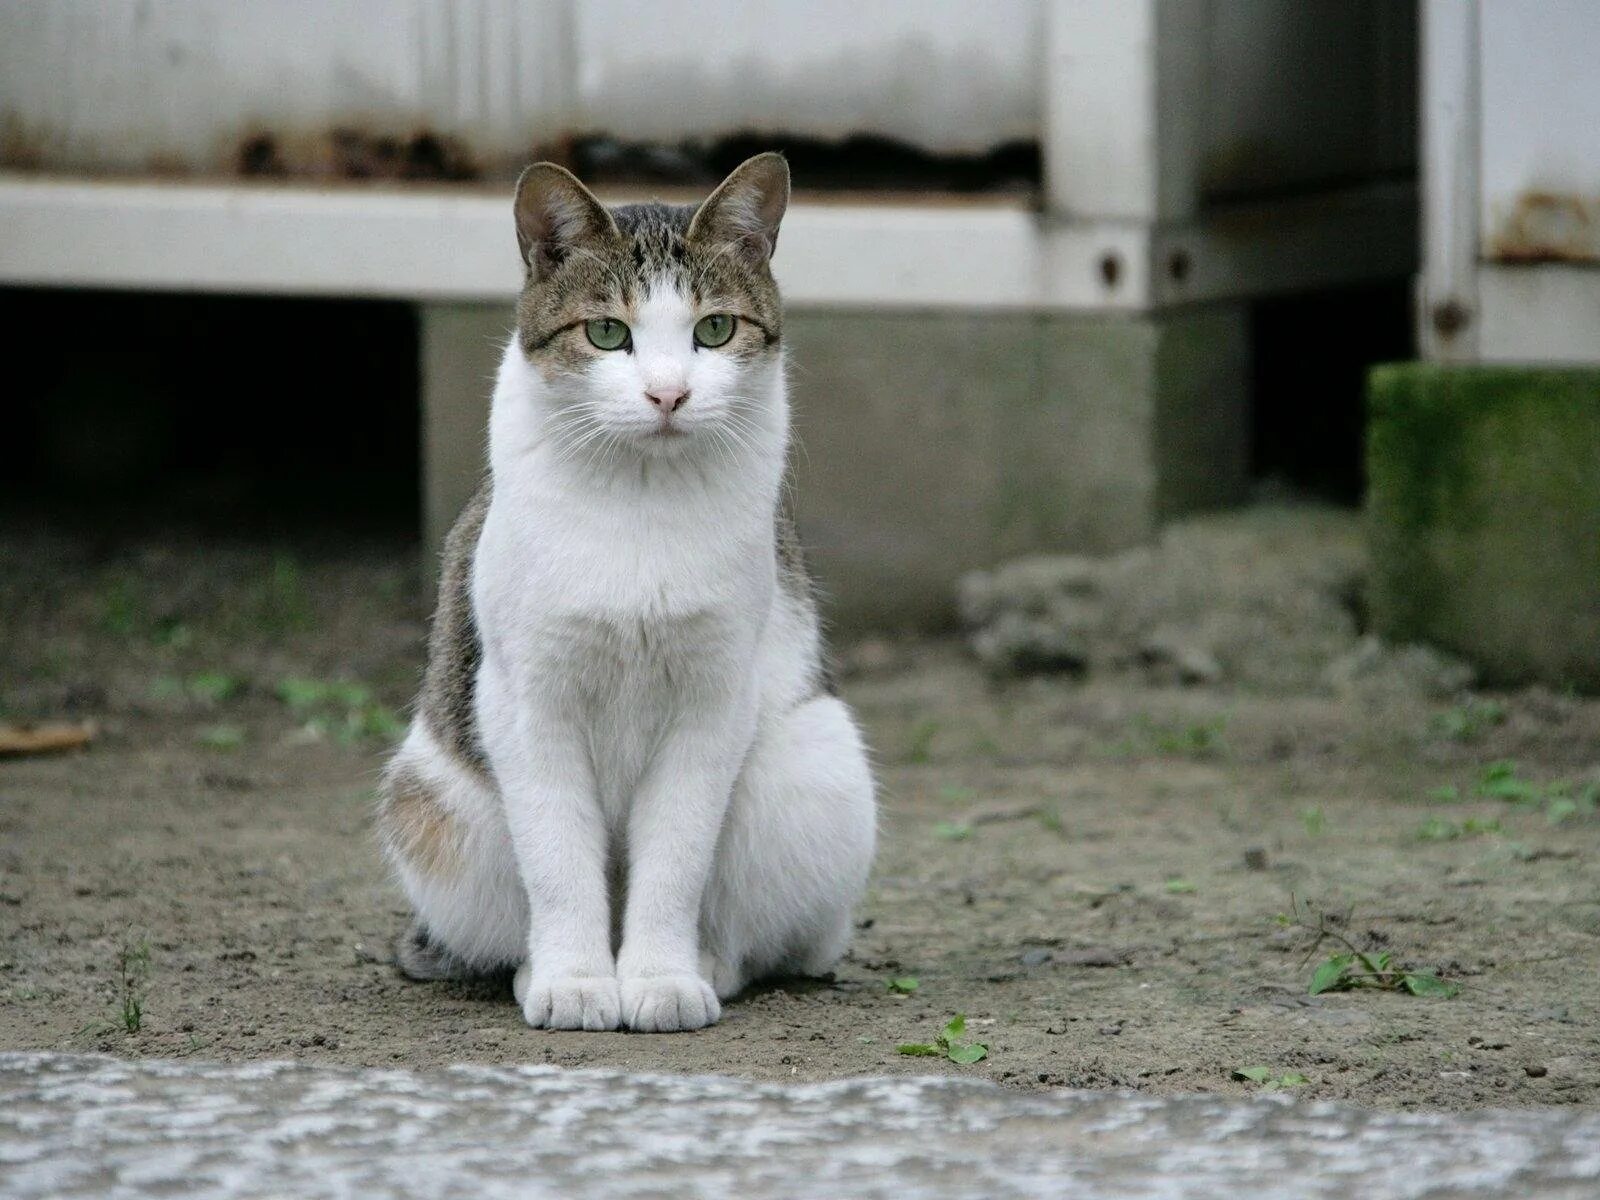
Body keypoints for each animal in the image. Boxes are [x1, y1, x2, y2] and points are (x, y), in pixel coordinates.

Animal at [374, 150, 876, 1036]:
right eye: (608, 332)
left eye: (715, 329)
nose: (668, 394)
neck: (642, 495)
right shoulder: (528, 702)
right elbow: (558, 861)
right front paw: (576, 982)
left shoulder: (712, 699)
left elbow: (674, 860)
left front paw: (661, 980)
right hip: (432, 806)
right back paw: (536, 967)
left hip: (812, 771)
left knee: (774, 939)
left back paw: (708, 963)